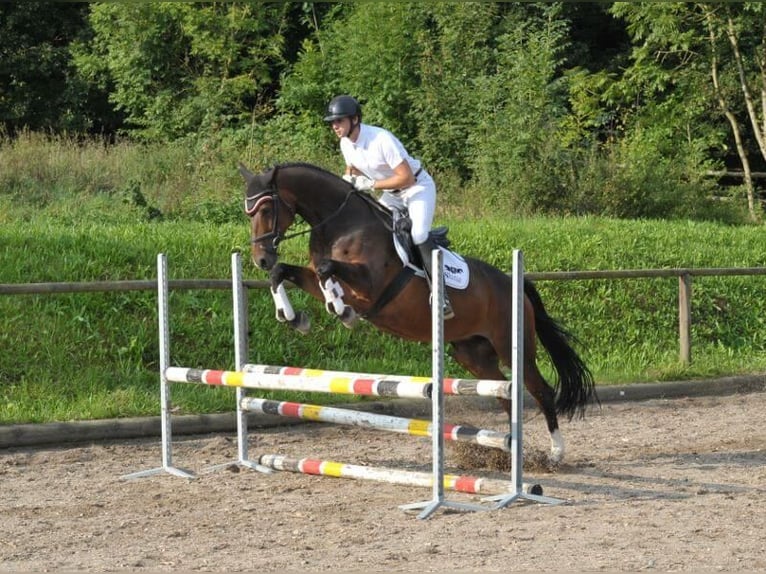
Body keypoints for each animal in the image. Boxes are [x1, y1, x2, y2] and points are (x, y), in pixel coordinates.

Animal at [237, 161, 596, 464]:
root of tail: (515, 285)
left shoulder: (370, 285)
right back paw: (509, 449)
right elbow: (286, 273)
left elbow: (328, 269)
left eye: (266, 208)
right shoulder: (316, 278)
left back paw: (555, 453)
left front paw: (340, 309)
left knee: (539, 390)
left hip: (513, 345)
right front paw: (295, 317)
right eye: (247, 211)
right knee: (504, 394)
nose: (260, 258)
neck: (340, 224)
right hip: (473, 354)